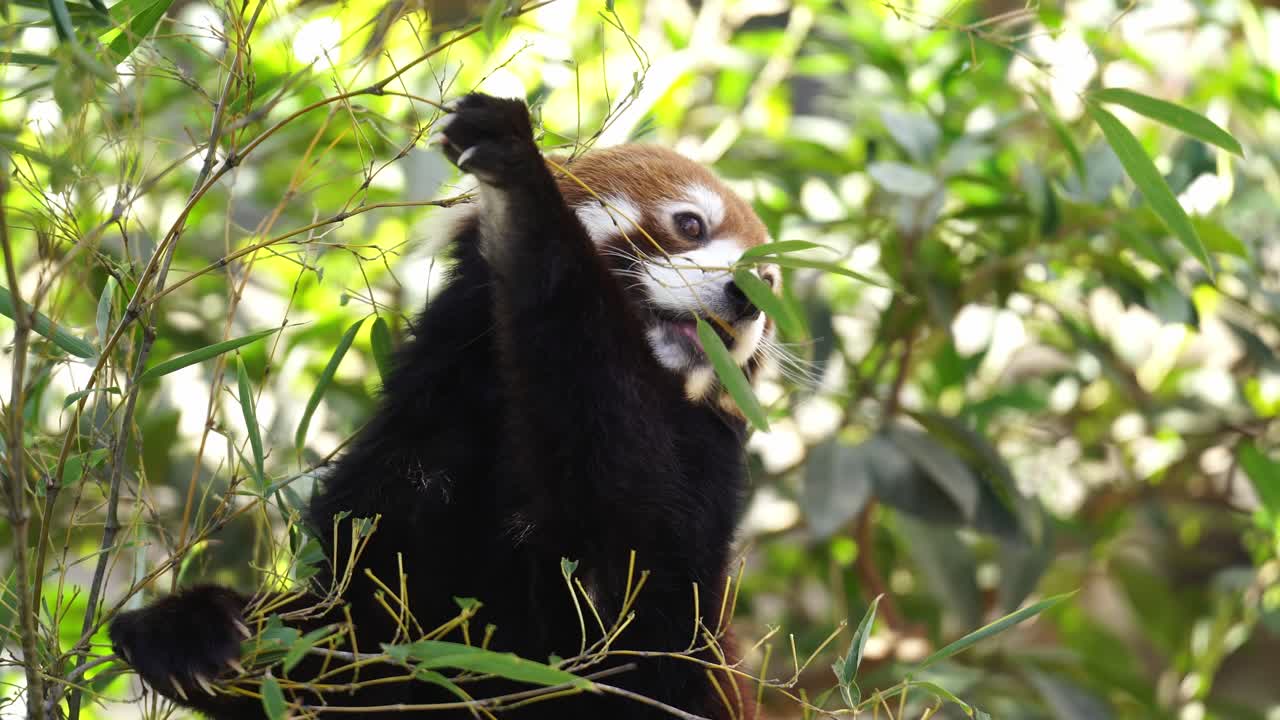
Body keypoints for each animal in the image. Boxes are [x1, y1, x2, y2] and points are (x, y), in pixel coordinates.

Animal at [109, 93, 778, 719]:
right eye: (690, 226)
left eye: (771, 280)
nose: (749, 297)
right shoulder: (426, 433)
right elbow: (356, 634)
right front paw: (190, 629)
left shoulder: (694, 494)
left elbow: (638, 559)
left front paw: (523, 197)